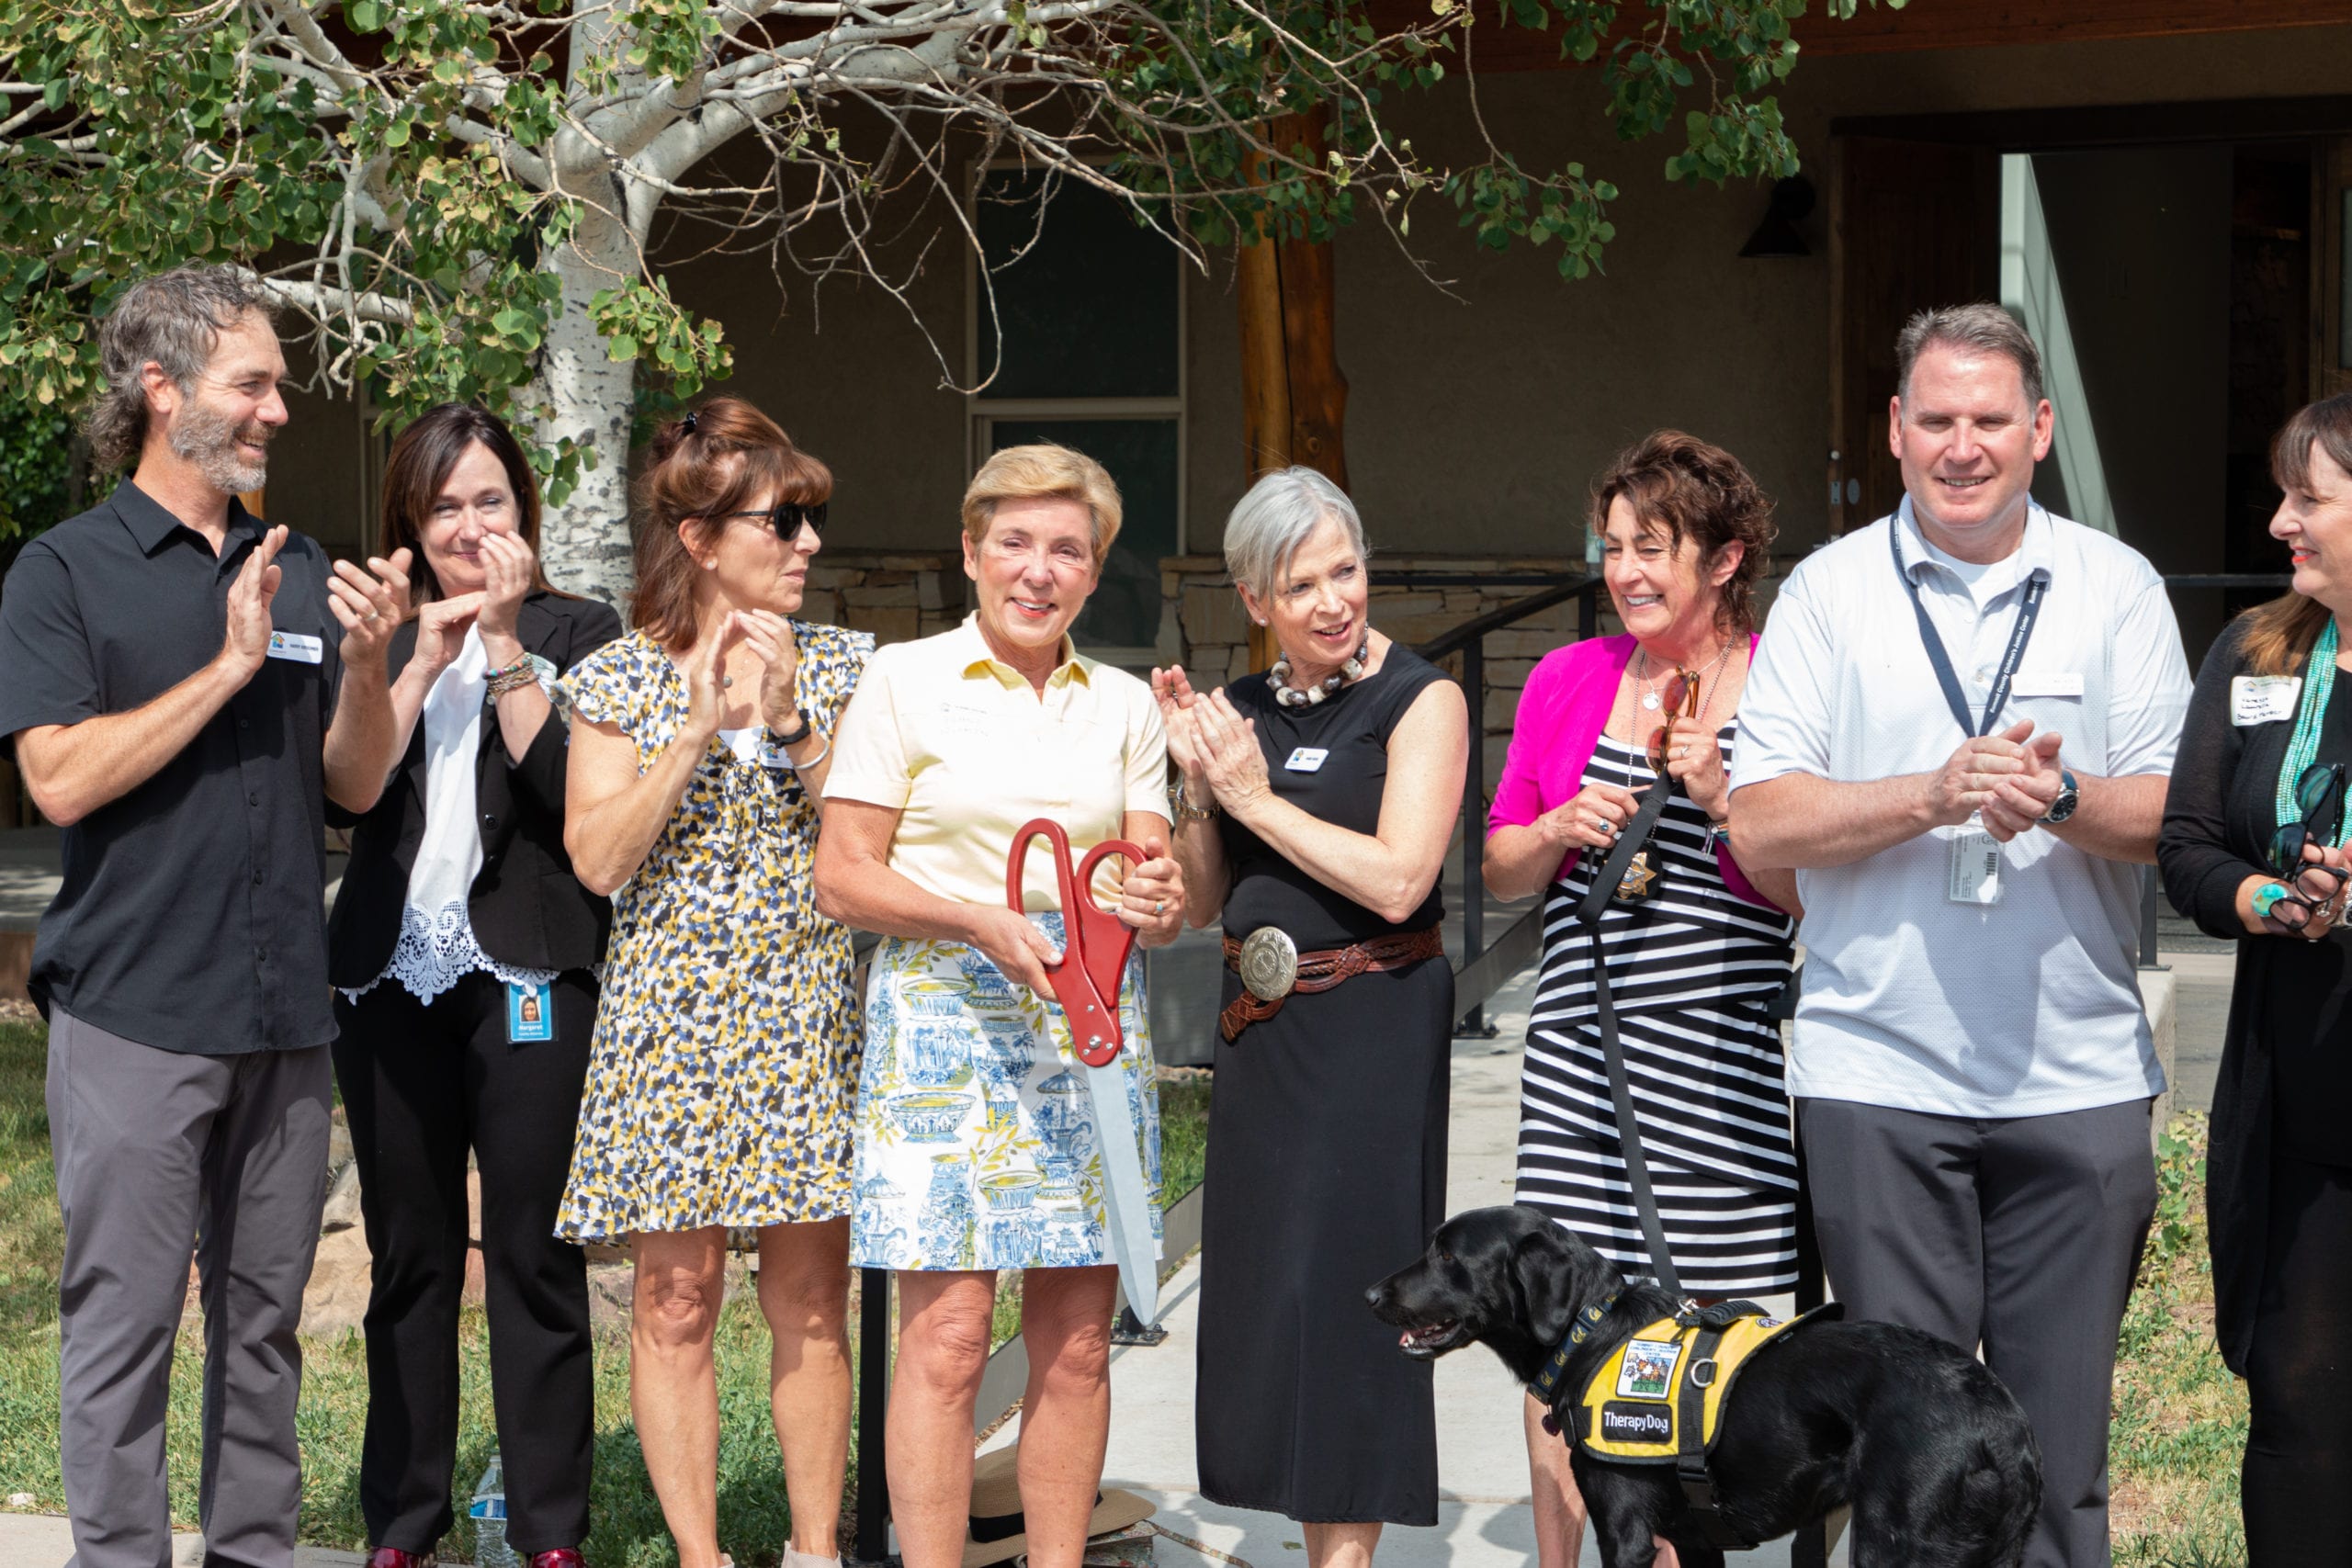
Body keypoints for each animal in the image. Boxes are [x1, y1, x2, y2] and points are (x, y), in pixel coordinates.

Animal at [1363, 1213, 2041, 1561]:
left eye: (1447, 1256)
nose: (1369, 1294)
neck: (1592, 1329)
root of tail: (2000, 1425)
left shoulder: (1626, 1533)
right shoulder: (1691, 1535)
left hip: (1897, 1547)